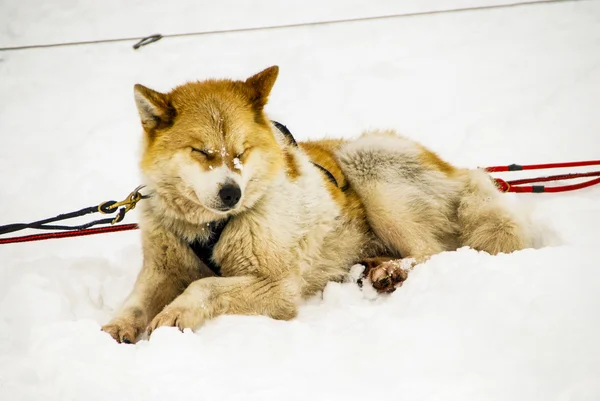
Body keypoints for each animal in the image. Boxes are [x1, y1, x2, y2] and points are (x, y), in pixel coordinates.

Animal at [101, 66, 532, 344]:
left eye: (242, 151)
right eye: (202, 152)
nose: (231, 194)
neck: (207, 226)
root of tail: (461, 172)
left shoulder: (277, 288)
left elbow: (203, 284)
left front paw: (177, 312)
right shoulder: (161, 270)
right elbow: (136, 301)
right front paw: (118, 325)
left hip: (369, 164)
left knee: (431, 253)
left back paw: (389, 270)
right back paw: (376, 268)